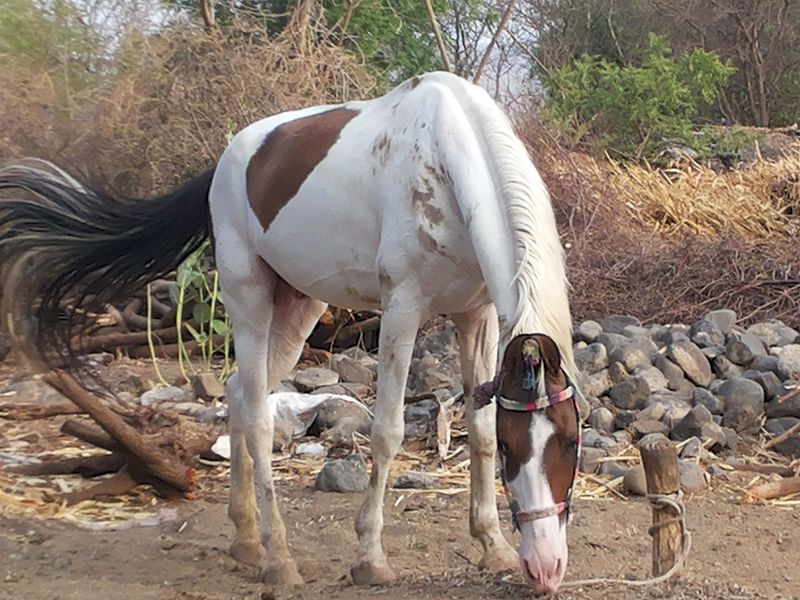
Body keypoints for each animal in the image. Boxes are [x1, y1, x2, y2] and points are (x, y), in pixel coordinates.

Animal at [0, 70, 580, 592]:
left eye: (571, 441)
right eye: (513, 447)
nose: (546, 567)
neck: (443, 159)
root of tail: (226, 162)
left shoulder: (475, 315)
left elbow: (474, 430)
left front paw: (492, 545)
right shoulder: (403, 309)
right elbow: (387, 432)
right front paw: (369, 558)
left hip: (298, 307)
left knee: (236, 394)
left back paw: (245, 539)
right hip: (248, 297)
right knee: (257, 415)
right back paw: (277, 560)